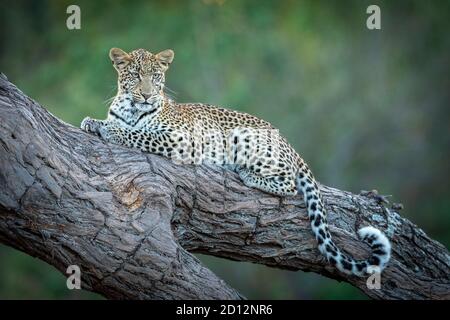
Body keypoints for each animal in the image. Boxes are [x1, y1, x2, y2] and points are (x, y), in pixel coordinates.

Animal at [81, 47, 390, 276]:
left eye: (156, 77)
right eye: (135, 75)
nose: (147, 95)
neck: (131, 108)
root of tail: (291, 147)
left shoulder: (182, 139)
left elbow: (139, 134)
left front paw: (113, 131)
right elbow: (119, 125)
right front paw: (92, 122)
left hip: (249, 139)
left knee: (289, 184)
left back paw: (247, 174)